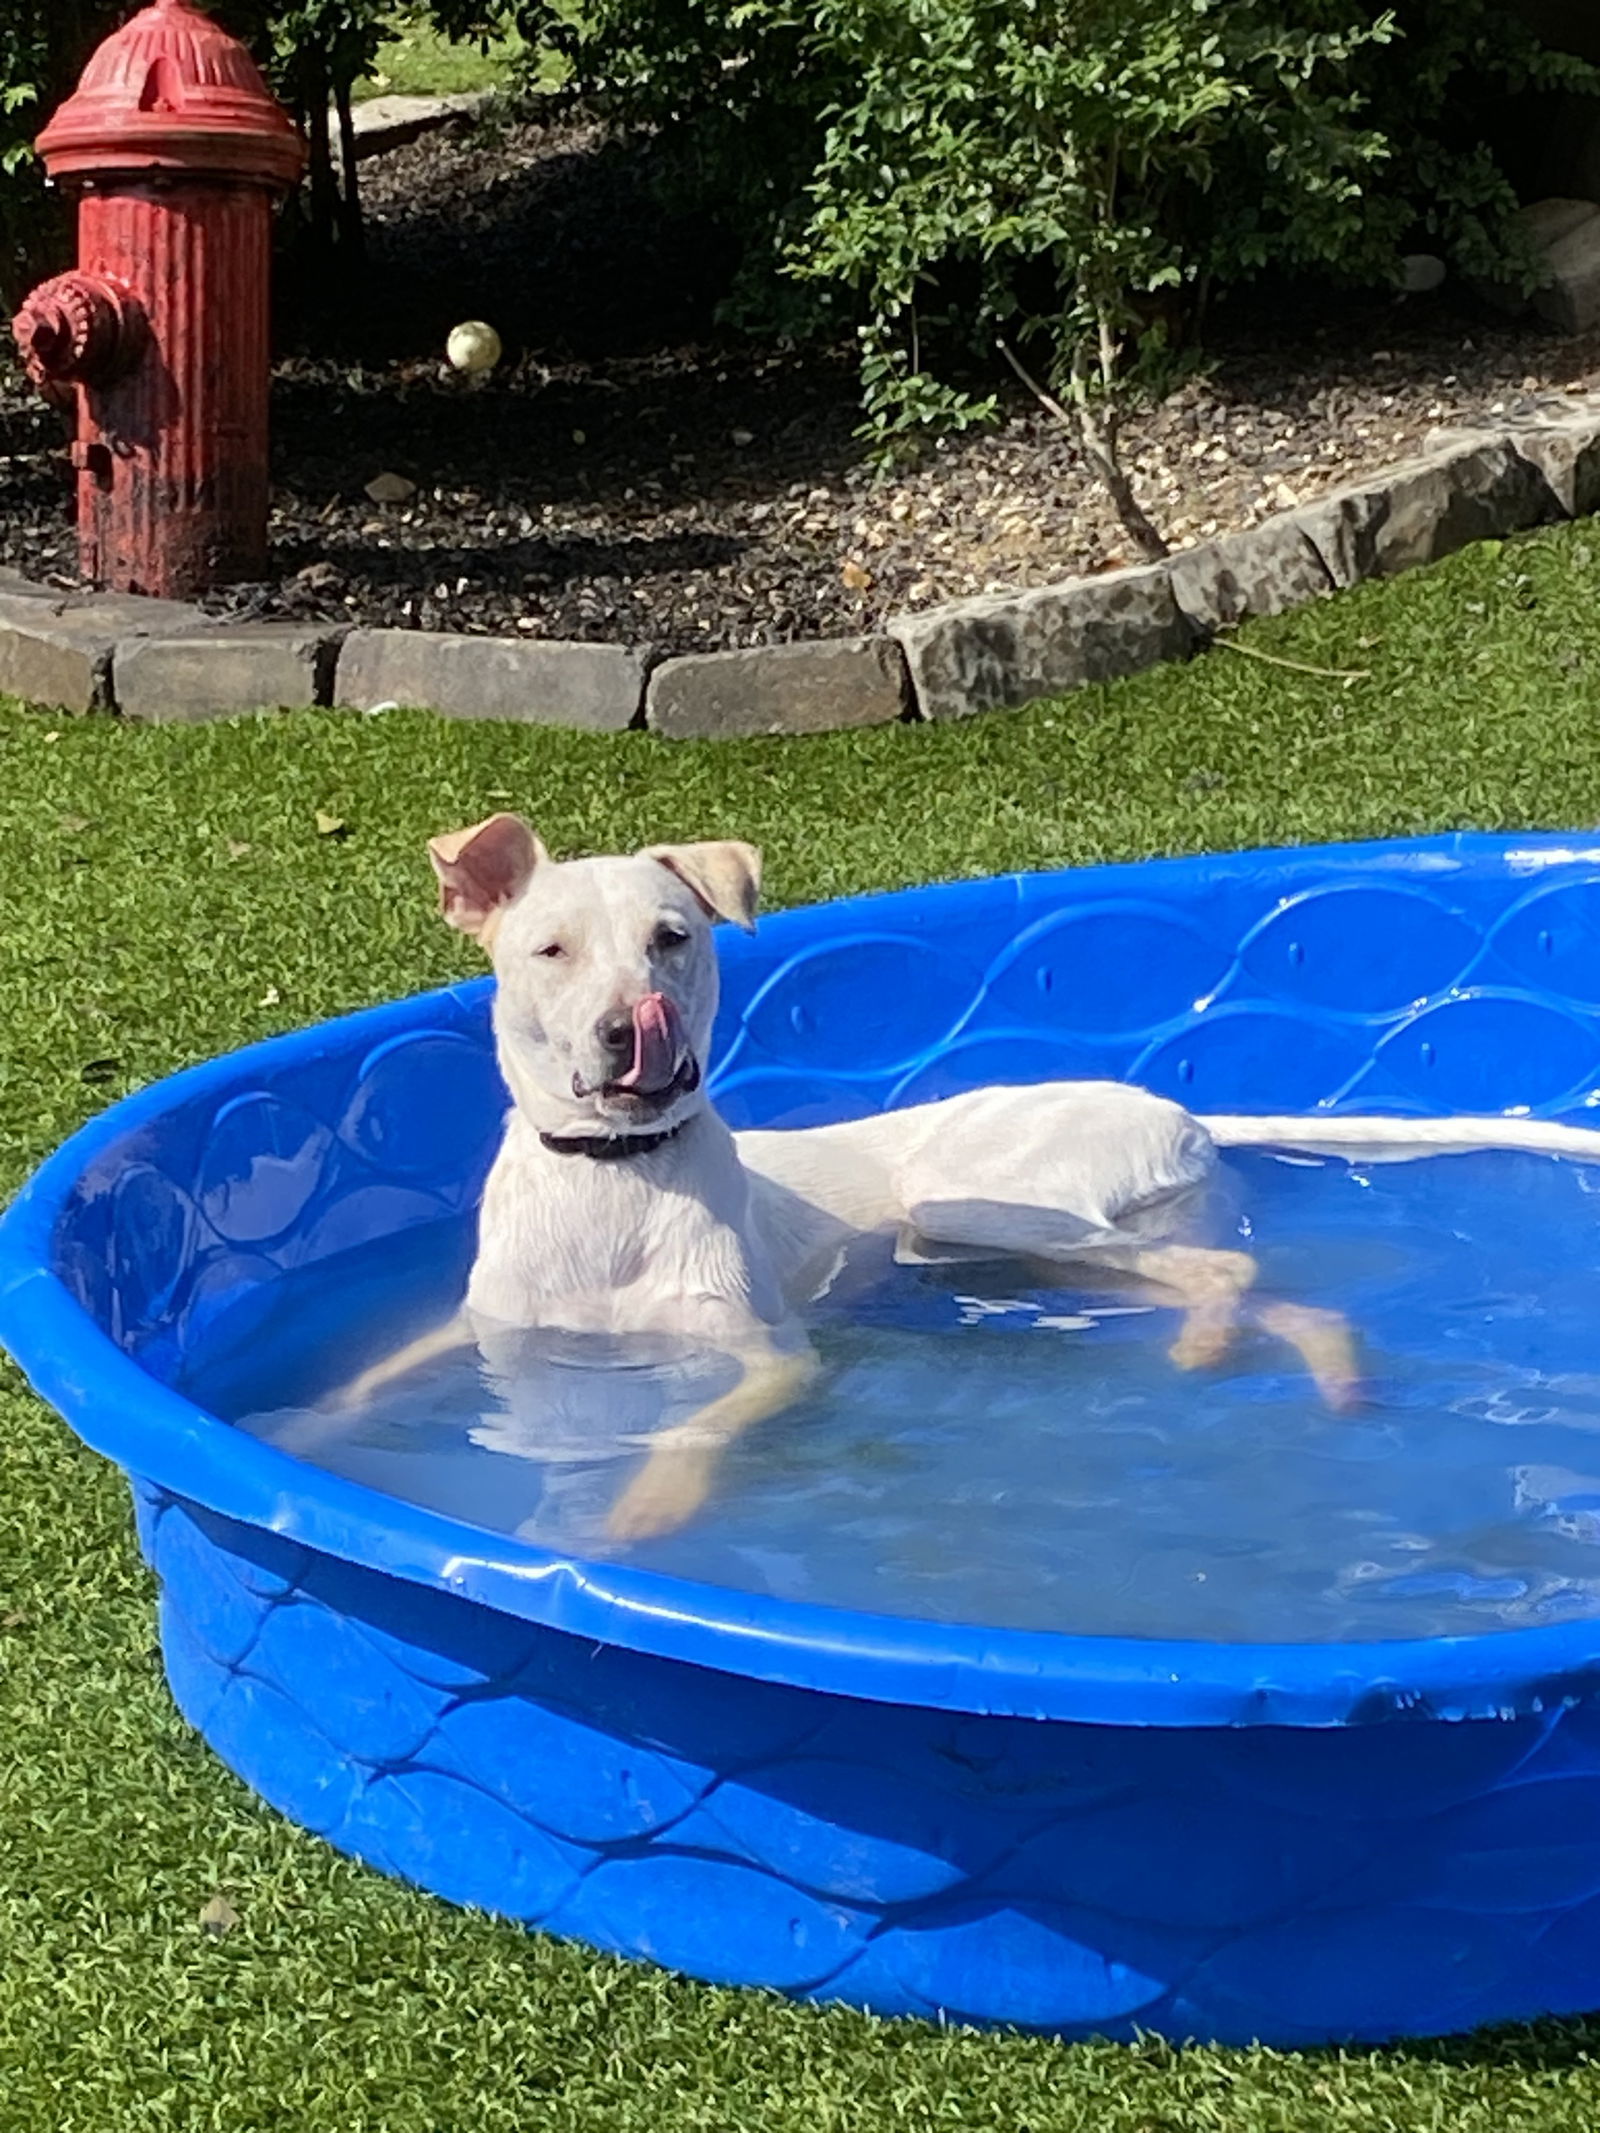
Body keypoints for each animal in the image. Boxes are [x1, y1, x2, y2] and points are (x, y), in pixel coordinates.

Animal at [334, 806, 1382, 1544]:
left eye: (673, 937)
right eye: (549, 950)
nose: (631, 1026)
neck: (614, 1176)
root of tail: (1184, 1112)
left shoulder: (772, 1358)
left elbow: (689, 1425)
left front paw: (648, 1504)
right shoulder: (493, 1328)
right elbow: (366, 1385)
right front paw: (318, 1430)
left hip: (979, 1208)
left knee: (1227, 1271)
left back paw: (1212, 1345)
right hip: (1052, 1255)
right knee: (1271, 1297)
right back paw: (1321, 1367)